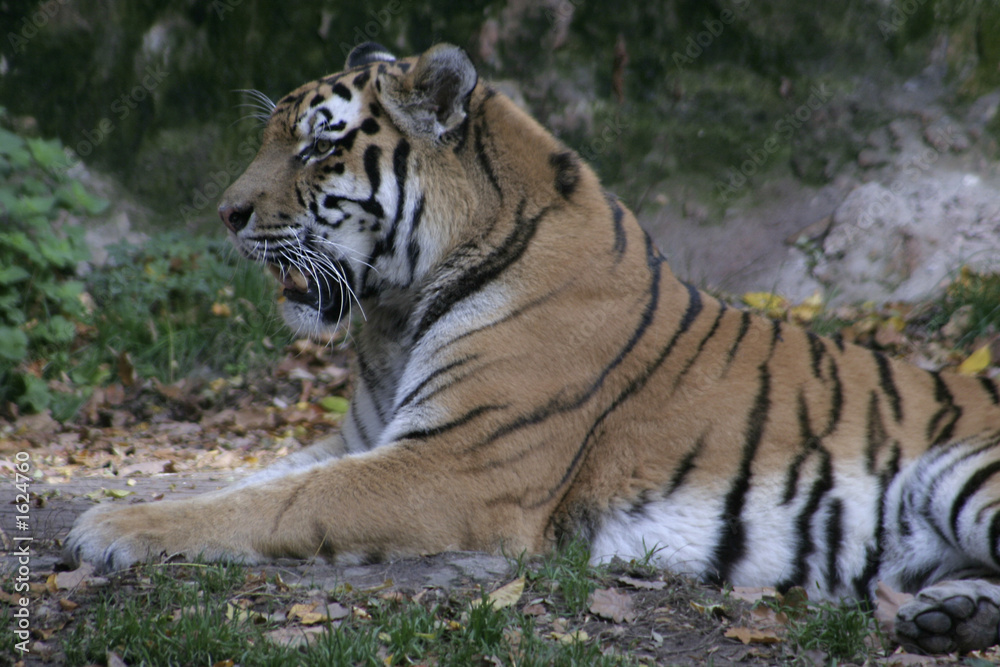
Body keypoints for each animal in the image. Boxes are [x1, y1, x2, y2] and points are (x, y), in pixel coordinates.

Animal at [66, 42, 1000, 655]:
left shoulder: (451, 460)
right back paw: (949, 617)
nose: (226, 215)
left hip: (965, 473)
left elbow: (280, 502)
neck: (394, 313)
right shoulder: (361, 439)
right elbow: (246, 481)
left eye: (320, 143)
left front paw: (110, 524)